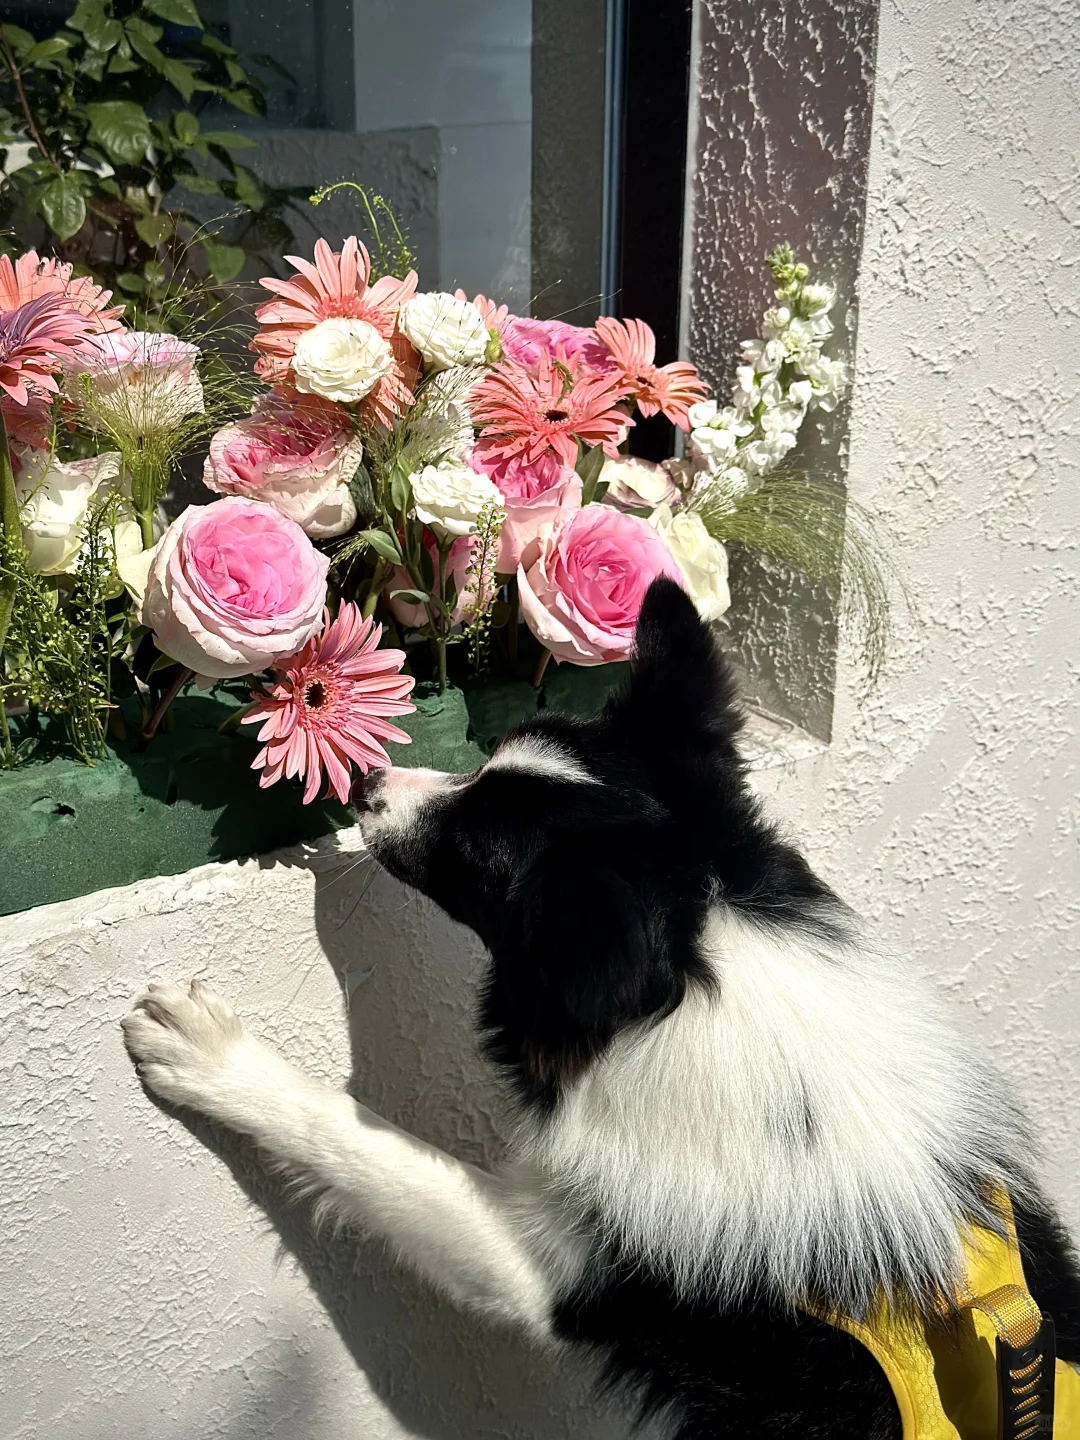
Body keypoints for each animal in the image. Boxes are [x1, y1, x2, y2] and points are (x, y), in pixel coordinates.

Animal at [122, 578, 1077, 1434]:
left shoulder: (549, 1261)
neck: (714, 961)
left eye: (474, 853)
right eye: (488, 758)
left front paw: (211, 1056)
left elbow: (362, 1144)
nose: (367, 785)